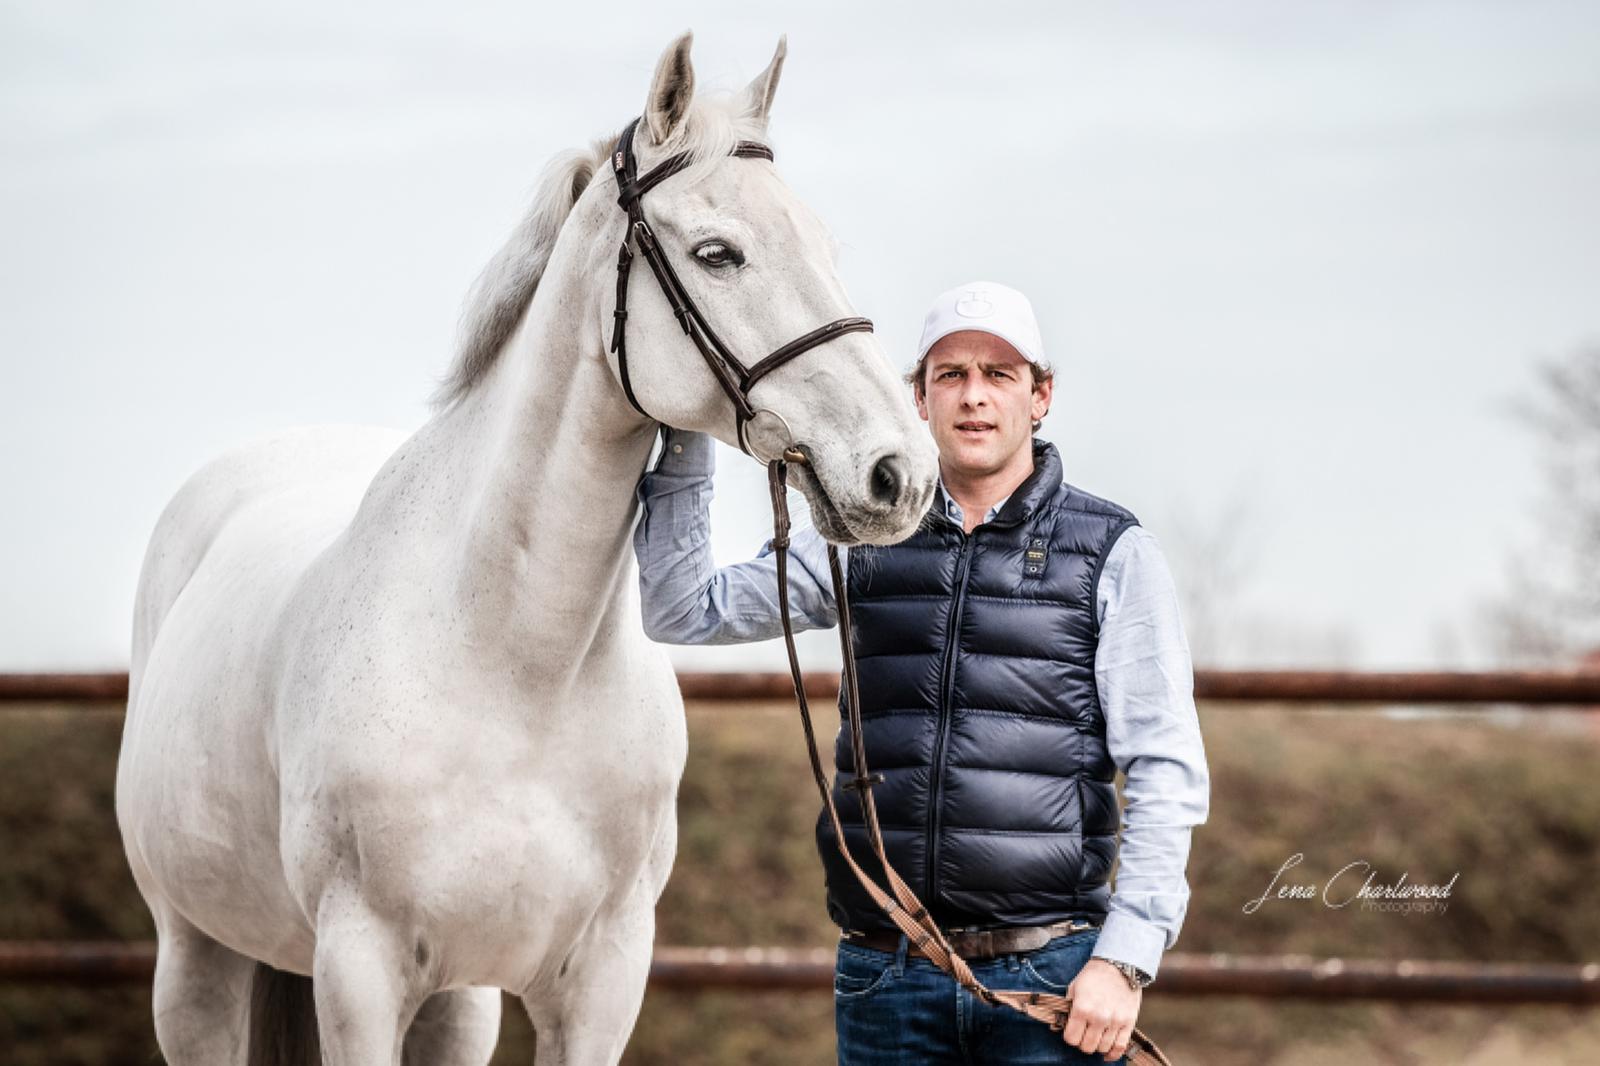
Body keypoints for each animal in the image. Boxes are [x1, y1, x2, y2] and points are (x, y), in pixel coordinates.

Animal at [114, 31, 937, 1065]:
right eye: (718, 253)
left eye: (826, 247)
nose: (901, 473)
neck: (513, 666)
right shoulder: (358, 976)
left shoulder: (600, 983)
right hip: (196, 960)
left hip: (455, 1003)